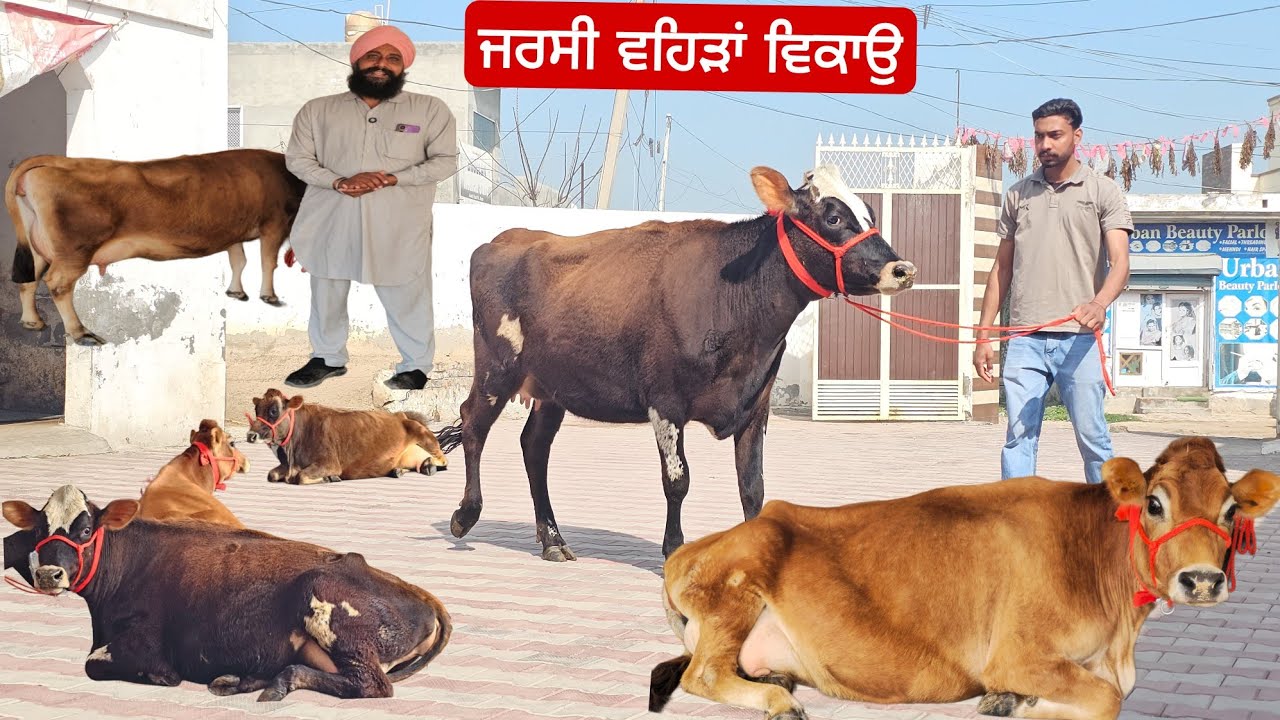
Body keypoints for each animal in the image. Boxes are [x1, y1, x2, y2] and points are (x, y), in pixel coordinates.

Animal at [2, 484, 452, 701]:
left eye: (85, 529)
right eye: (40, 528)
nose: (48, 574)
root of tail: (419, 595)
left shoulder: (144, 646)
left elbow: (95, 664)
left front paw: (158, 676)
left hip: (329, 604)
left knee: (372, 685)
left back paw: (273, 682)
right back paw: (242, 679)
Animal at [4, 148, 306, 346]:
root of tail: (57, 161)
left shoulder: (232, 232)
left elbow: (238, 261)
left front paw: (236, 292)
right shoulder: (275, 223)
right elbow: (268, 262)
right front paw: (269, 296)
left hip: (37, 247)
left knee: (29, 279)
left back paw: (32, 322)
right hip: (74, 252)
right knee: (57, 283)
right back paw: (81, 333)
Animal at [245, 388, 457, 485]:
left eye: (274, 410)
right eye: (257, 409)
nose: (251, 435)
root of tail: (401, 415)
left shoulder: (329, 462)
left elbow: (301, 477)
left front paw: (329, 478)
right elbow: (272, 474)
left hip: (425, 436)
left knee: (443, 460)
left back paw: (428, 465)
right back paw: (398, 470)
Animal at [442, 164, 917, 562]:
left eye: (870, 213)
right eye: (833, 217)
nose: (902, 268)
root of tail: (503, 238)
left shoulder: (755, 405)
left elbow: (753, 487)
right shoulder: (666, 402)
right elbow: (678, 480)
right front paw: (673, 548)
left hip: (551, 386)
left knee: (534, 446)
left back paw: (553, 539)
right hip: (498, 367)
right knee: (473, 423)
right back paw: (466, 514)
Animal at [648, 436, 1280, 720]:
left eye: (1230, 510)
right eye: (1154, 503)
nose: (1202, 580)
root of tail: (691, 551)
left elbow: (1113, 691)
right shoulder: (1018, 653)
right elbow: (1105, 699)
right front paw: (1019, 705)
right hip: (737, 588)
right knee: (703, 673)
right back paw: (779, 701)